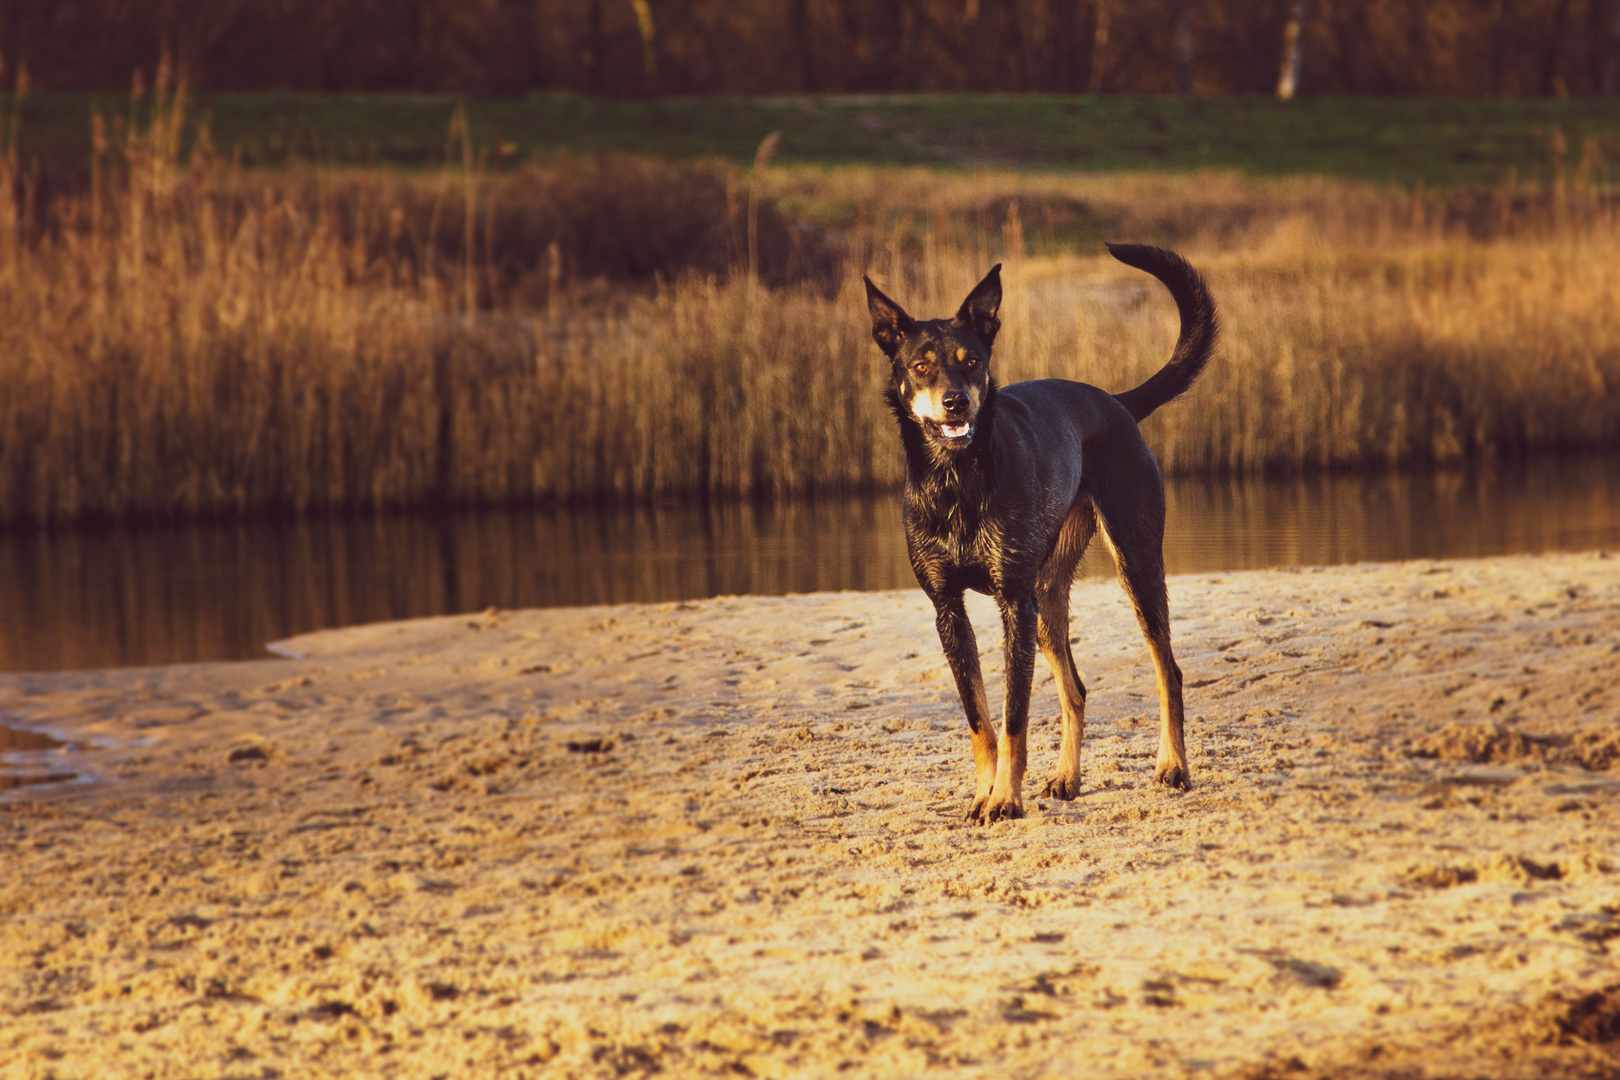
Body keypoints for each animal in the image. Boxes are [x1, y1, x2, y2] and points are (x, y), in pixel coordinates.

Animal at [861, 242, 1218, 819]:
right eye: (920, 366)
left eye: (972, 361)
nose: (956, 401)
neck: (957, 479)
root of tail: (1116, 401)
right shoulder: (949, 610)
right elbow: (979, 719)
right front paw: (984, 793)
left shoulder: (1013, 604)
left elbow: (1014, 716)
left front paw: (1005, 799)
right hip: (1047, 596)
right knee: (1076, 689)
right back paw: (1067, 777)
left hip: (1134, 564)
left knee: (1169, 670)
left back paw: (1173, 767)